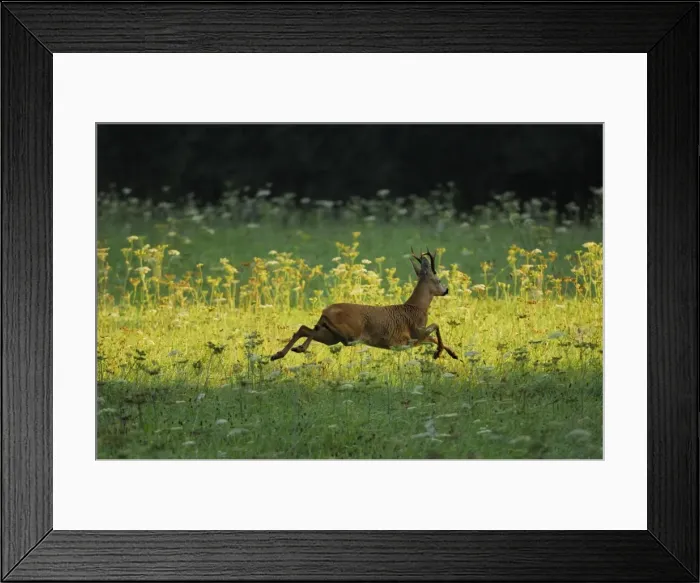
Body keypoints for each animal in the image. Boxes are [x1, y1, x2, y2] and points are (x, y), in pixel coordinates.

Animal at [270, 248, 459, 361]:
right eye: (438, 280)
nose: (446, 290)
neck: (416, 307)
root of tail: (327, 310)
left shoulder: (416, 338)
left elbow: (434, 336)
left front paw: (452, 354)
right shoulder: (414, 332)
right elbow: (436, 326)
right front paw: (439, 353)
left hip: (330, 338)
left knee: (305, 328)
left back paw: (281, 353)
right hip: (350, 331)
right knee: (319, 330)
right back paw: (299, 348)